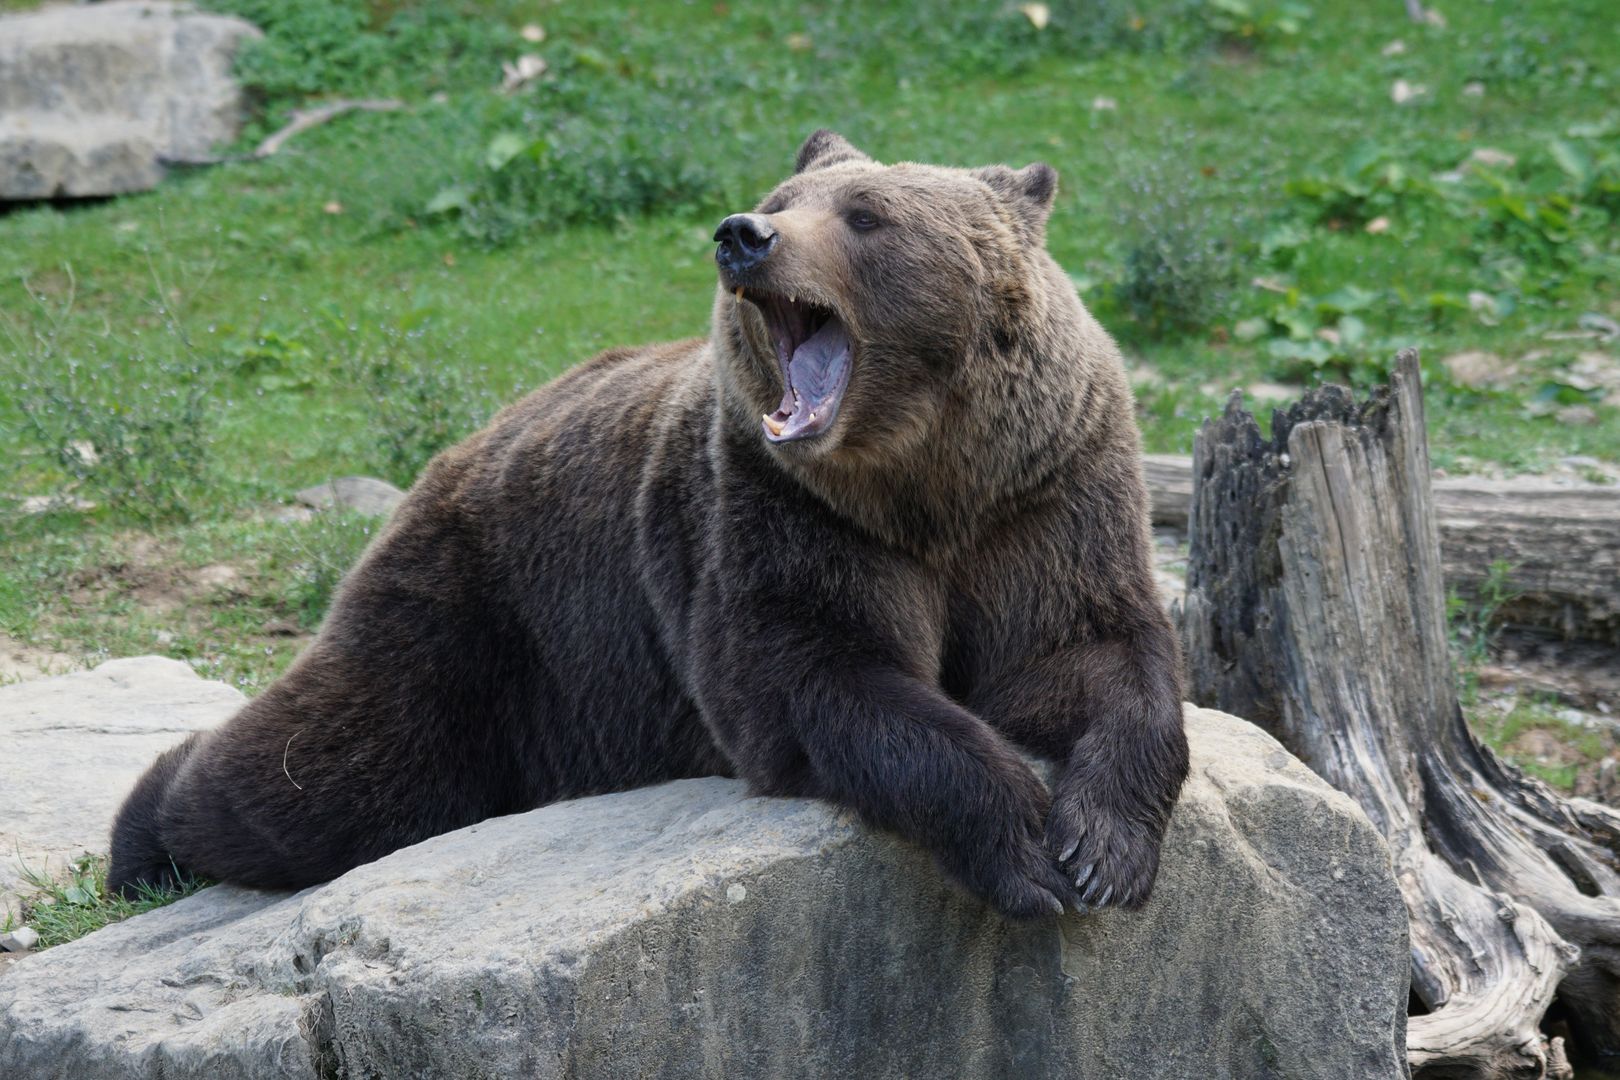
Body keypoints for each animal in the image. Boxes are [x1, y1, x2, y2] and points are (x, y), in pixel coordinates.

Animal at [104, 131, 1192, 919]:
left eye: (867, 215)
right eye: (785, 200)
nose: (743, 233)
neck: (923, 480)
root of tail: (458, 450)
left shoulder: (1045, 495)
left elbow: (1093, 654)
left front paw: (1101, 851)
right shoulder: (780, 516)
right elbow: (823, 678)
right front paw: (1023, 848)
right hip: (485, 621)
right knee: (333, 776)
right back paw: (143, 835)